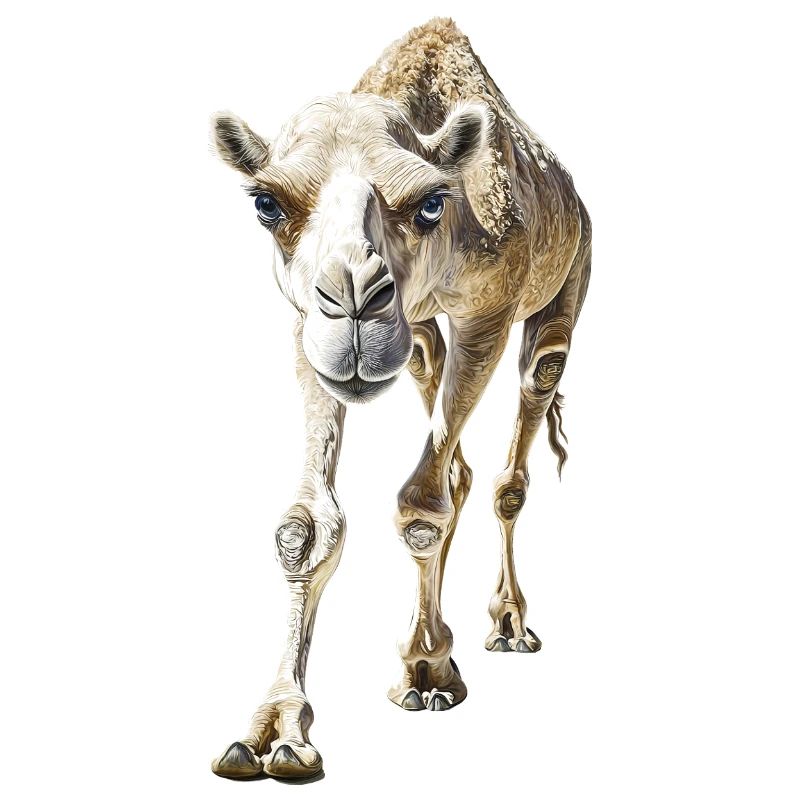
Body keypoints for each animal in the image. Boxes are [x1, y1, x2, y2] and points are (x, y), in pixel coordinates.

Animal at [210, 18, 591, 780]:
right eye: (267, 204)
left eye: (430, 201)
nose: (355, 299)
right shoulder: (305, 323)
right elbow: (306, 525)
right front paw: (273, 731)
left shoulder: (488, 313)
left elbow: (420, 506)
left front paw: (427, 672)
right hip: (416, 339)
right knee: (455, 455)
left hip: (568, 282)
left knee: (525, 415)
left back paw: (507, 626)